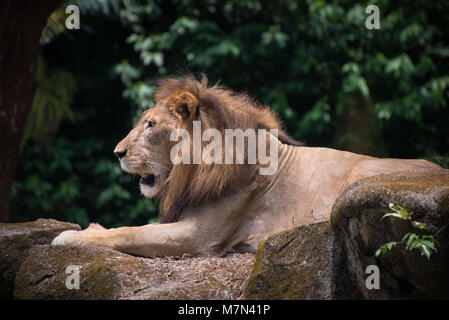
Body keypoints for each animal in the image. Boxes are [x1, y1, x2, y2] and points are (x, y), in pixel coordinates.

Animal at [51, 75, 438, 258]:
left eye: (150, 125)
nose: (117, 152)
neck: (195, 168)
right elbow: (132, 229)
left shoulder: (198, 236)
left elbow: (130, 232)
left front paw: (71, 236)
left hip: (361, 175)